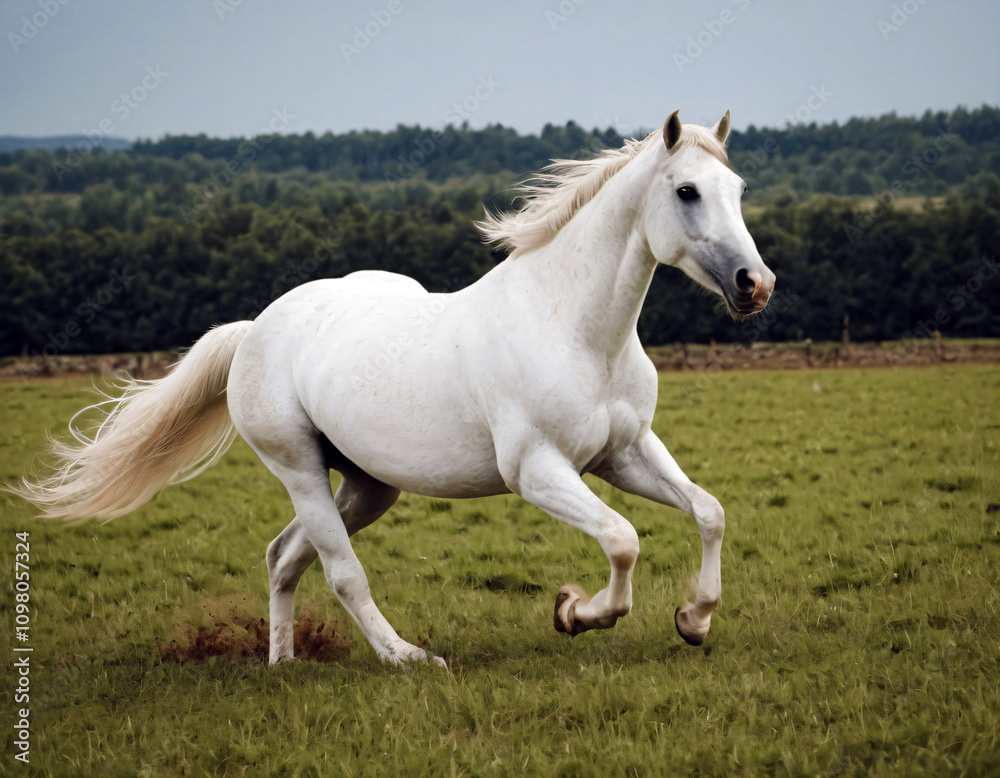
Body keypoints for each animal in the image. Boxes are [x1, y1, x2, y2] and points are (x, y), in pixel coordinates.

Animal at [12, 111, 775, 667]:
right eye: (685, 191)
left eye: (737, 190)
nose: (755, 284)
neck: (576, 331)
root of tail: (255, 328)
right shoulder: (538, 471)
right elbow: (622, 541)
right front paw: (574, 612)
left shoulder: (625, 453)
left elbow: (708, 512)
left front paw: (693, 620)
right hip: (300, 469)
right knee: (340, 571)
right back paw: (407, 658)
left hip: (368, 484)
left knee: (285, 556)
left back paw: (282, 664)